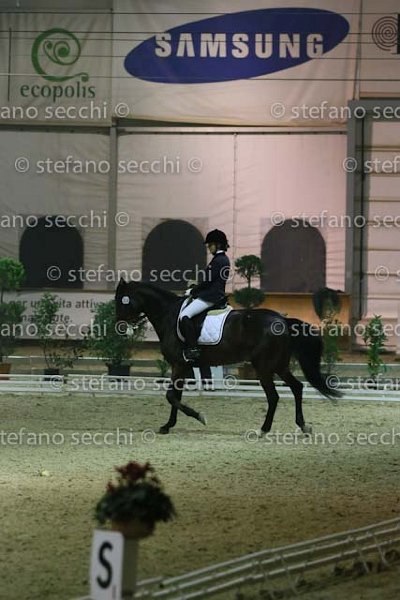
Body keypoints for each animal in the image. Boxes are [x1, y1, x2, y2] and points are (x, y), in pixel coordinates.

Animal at [115, 279, 340, 435]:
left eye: (122, 301)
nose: (120, 328)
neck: (168, 314)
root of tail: (283, 320)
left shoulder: (178, 365)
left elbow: (171, 396)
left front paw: (200, 417)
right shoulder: (181, 367)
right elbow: (175, 396)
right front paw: (167, 425)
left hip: (264, 367)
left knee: (274, 396)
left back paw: (262, 430)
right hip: (279, 365)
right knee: (297, 387)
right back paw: (303, 426)